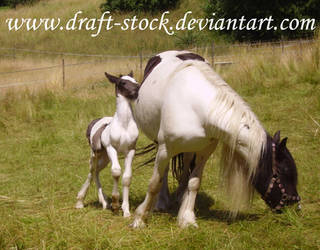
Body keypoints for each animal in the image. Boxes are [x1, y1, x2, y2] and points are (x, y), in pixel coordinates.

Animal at [76, 71, 140, 217]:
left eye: (134, 80)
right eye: (123, 82)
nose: (138, 89)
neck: (124, 125)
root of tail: (95, 121)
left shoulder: (130, 151)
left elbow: (127, 177)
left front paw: (126, 210)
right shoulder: (112, 149)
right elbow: (116, 172)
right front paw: (116, 204)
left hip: (104, 157)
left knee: (96, 172)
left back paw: (104, 202)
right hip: (95, 154)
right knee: (91, 172)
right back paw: (81, 201)